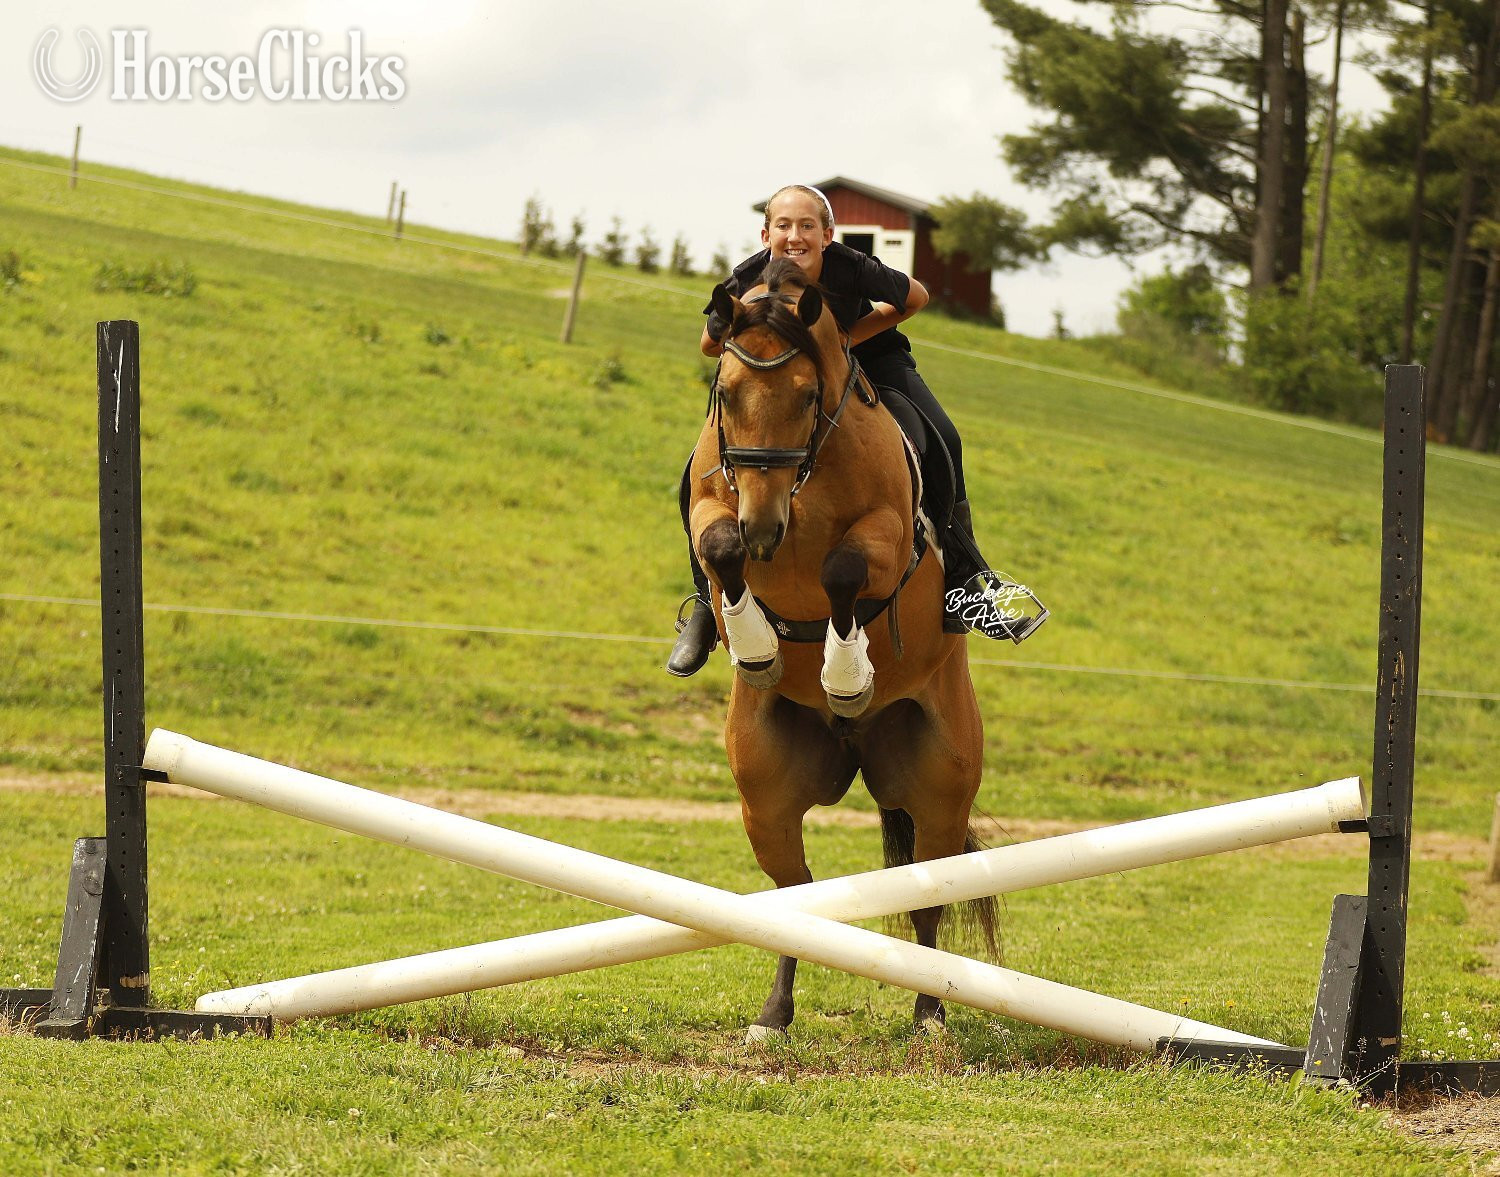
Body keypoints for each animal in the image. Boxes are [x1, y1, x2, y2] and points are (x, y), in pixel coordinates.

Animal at [687, 257, 997, 1042]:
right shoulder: (715, 507)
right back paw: (774, 1015)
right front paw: (758, 647)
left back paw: (930, 1014)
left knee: (927, 896)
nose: (766, 526)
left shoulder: (885, 533)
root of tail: (859, 748)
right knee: (794, 900)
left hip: (939, 791)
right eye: (726, 394)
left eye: (806, 395)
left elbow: (843, 573)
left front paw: (846, 675)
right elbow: (719, 545)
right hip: (766, 796)